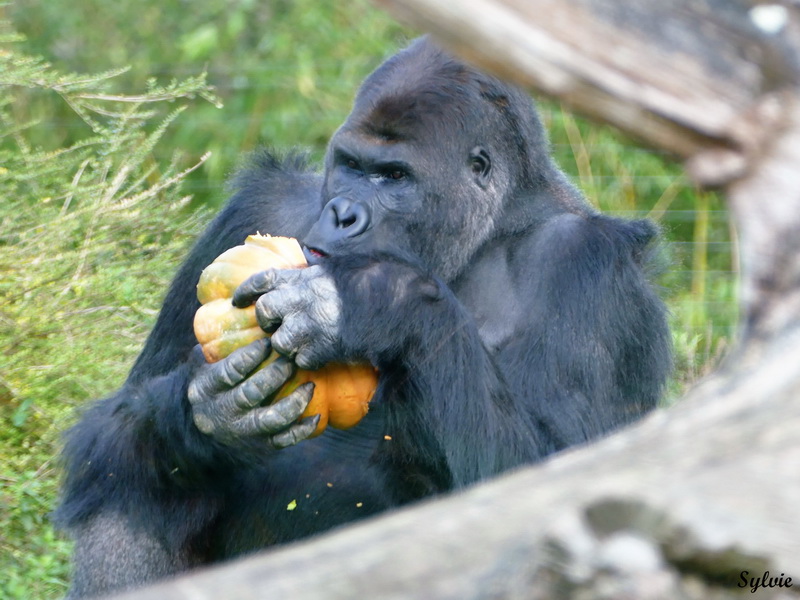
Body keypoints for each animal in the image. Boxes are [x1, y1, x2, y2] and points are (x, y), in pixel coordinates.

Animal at [54, 38, 668, 600]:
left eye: (394, 177)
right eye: (351, 166)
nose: (343, 215)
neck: (487, 232)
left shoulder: (587, 267)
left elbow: (548, 493)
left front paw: (378, 297)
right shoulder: (260, 206)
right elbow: (114, 425)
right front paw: (207, 412)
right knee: (130, 485)